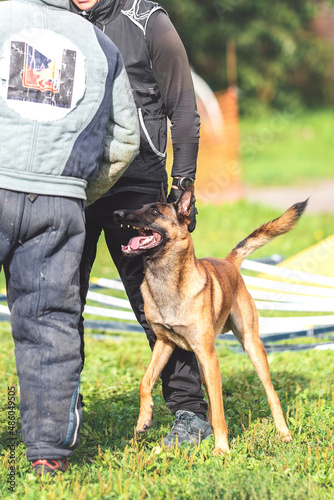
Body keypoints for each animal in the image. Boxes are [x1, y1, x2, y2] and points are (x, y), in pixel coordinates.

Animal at [113, 187, 306, 454]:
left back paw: (283, 432)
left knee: (270, 392)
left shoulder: (209, 356)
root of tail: (228, 263)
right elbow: (145, 381)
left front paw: (222, 449)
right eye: (140, 207)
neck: (167, 279)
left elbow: (220, 411)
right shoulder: (164, 344)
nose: (117, 214)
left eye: (154, 211)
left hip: (250, 347)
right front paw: (144, 419)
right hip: (205, 367)